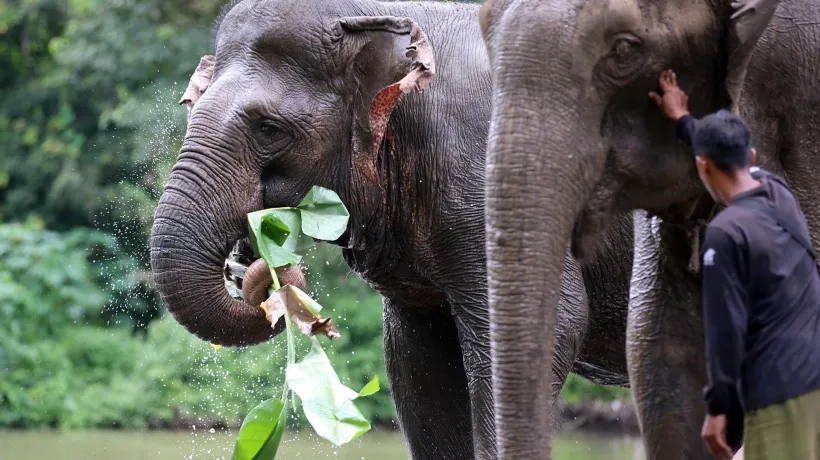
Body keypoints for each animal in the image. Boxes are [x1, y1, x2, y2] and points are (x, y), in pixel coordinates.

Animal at [152, 0, 640, 460]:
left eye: (269, 129)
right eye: (190, 107)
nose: (247, 264)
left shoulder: (494, 176)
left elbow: (548, 324)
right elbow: (413, 359)